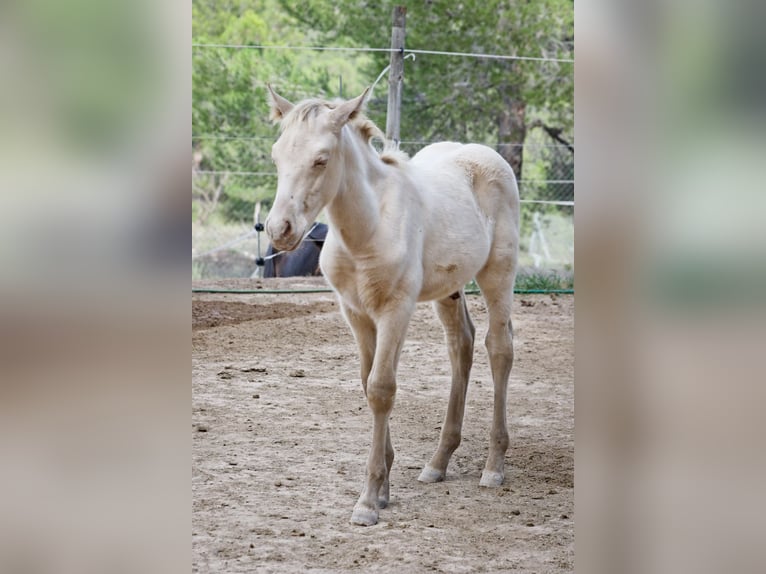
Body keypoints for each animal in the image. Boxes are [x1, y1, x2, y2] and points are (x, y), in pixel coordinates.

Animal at [266, 84, 520, 528]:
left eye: (321, 159)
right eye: (277, 155)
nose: (279, 230)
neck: (367, 230)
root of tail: (487, 155)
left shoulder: (396, 309)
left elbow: (382, 389)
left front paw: (368, 501)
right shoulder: (355, 312)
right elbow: (366, 381)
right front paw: (384, 487)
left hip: (498, 275)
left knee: (499, 347)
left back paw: (493, 467)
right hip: (449, 289)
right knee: (462, 345)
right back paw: (438, 462)